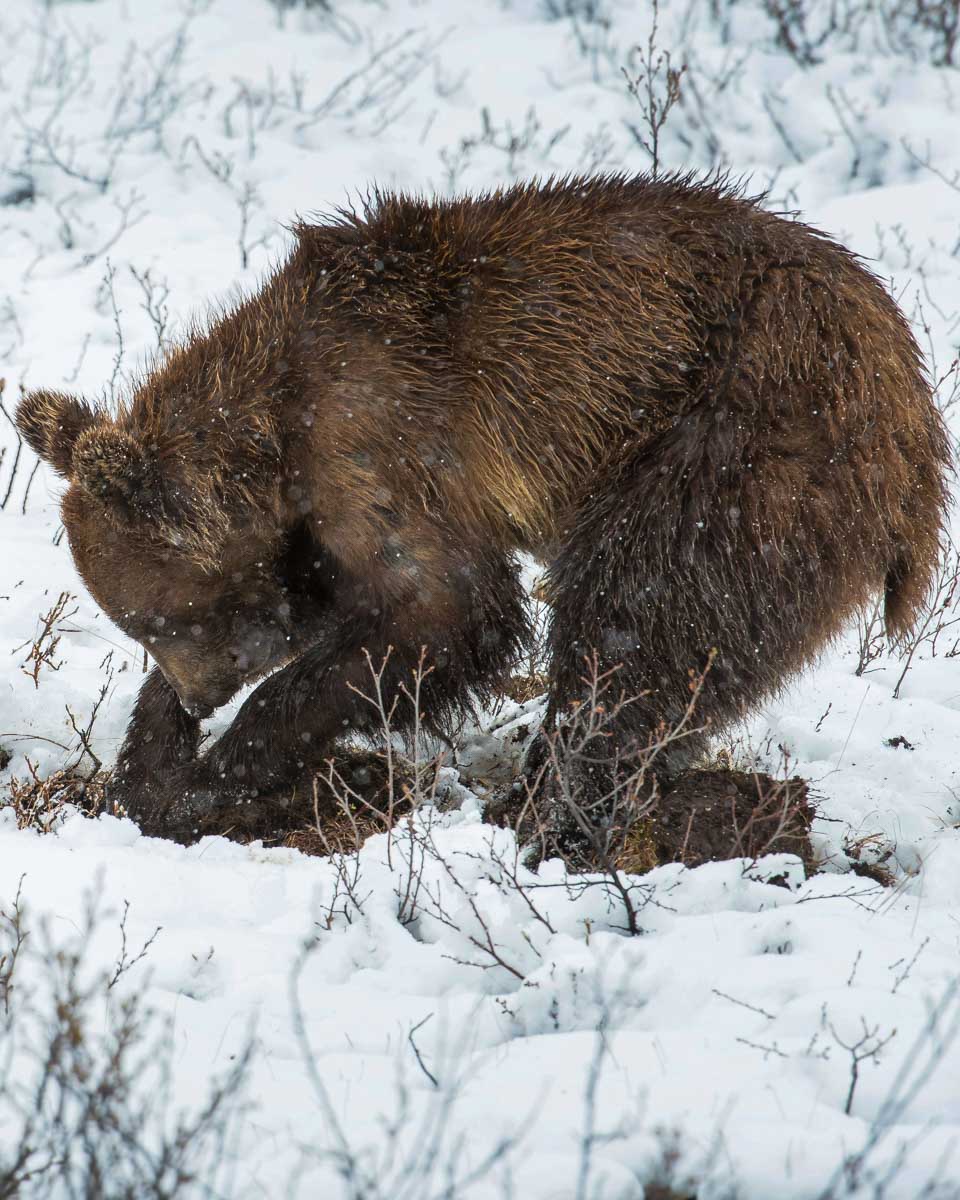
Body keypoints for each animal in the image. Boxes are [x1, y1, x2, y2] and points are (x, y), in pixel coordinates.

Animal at [16, 173, 951, 841]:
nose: (200, 695)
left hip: (741, 437)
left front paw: (221, 772)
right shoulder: (317, 524)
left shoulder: (380, 439)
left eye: (165, 617)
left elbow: (442, 610)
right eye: (143, 625)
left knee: (637, 619)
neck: (274, 439)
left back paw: (546, 807)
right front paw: (149, 760)